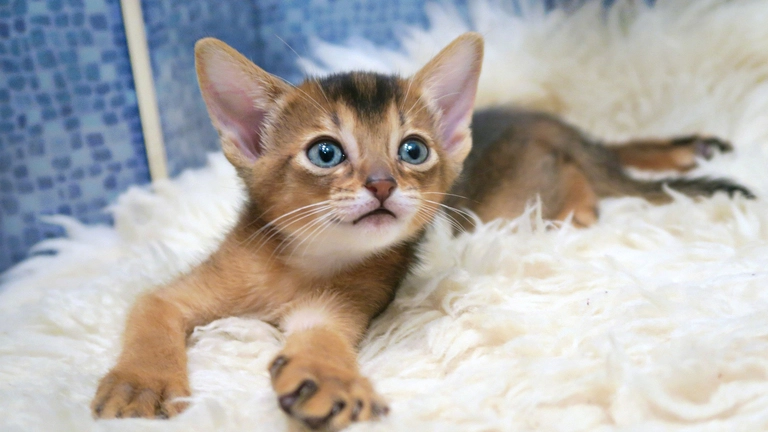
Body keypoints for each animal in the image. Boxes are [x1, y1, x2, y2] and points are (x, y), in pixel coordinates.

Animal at [90, 32, 752, 430]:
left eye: (412, 149)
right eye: (325, 153)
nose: (384, 185)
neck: (298, 263)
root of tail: (555, 132)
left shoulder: (339, 307)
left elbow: (322, 340)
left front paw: (329, 379)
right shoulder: (177, 292)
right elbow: (150, 315)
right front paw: (140, 383)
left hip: (521, 194)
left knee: (596, 174)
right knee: (615, 152)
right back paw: (686, 149)